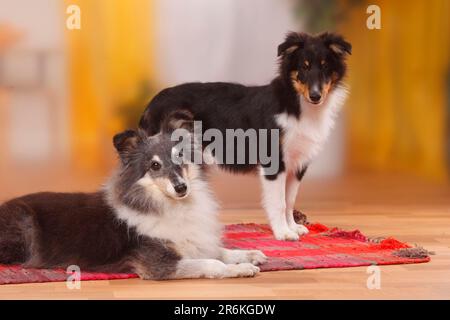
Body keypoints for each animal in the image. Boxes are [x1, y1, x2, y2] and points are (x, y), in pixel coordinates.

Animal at [140, 33, 352, 242]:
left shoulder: (298, 163)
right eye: (304, 67)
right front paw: (283, 233)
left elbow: (290, 199)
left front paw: (293, 227)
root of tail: (151, 103)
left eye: (325, 67)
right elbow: (279, 202)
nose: (315, 96)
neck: (297, 104)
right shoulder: (274, 162)